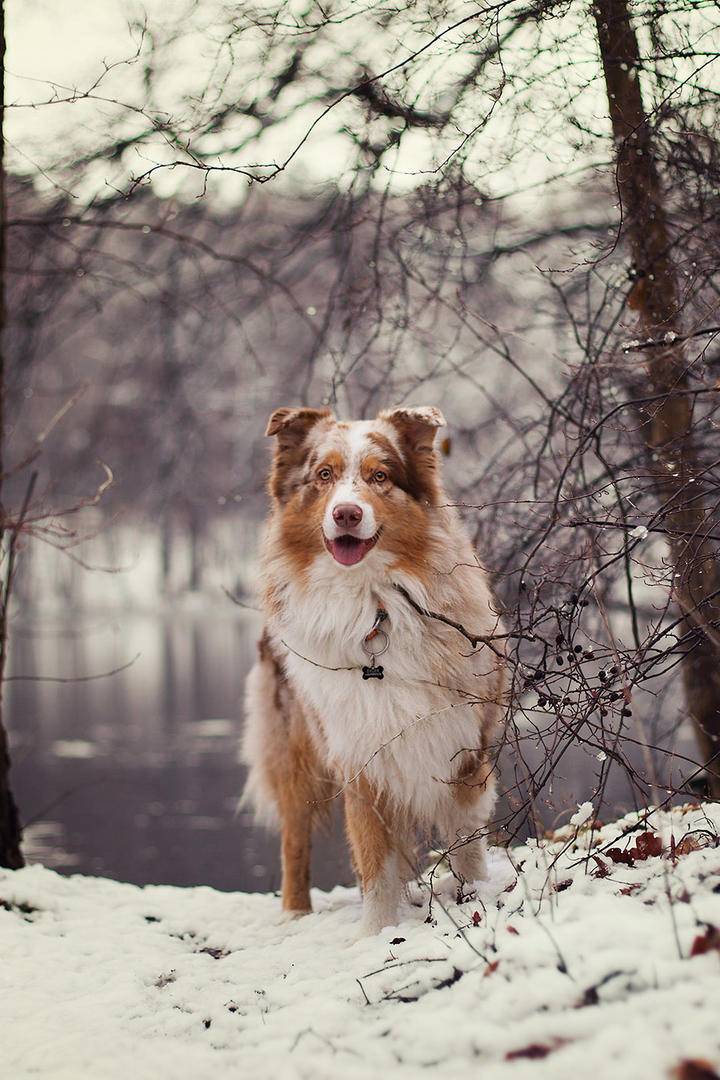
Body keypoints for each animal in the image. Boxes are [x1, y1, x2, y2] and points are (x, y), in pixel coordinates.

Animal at [241, 406, 507, 937]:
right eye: (324, 475)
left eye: (379, 476)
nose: (346, 513)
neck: (374, 610)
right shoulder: (359, 757)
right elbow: (374, 858)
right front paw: (376, 934)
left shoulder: (465, 747)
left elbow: (467, 846)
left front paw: (474, 900)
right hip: (292, 746)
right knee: (294, 837)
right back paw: (293, 915)